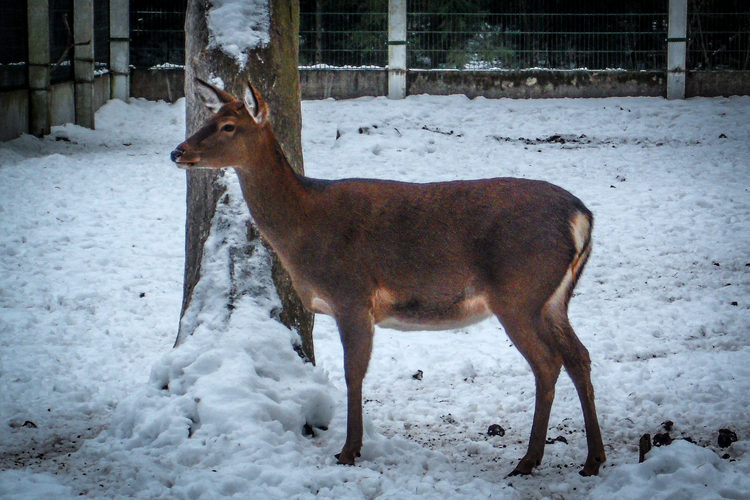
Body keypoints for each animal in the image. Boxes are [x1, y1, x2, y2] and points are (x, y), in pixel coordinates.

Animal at [169, 79, 604, 476]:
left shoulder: (351, 295)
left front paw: (349, 451)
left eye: (229, 125)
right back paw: (592, 459)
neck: (303, 231)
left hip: (519, 293)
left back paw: (529, 460)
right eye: (207, 118)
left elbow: (353, 372)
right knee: (579, 356)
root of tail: (582, 216)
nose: (178, 151)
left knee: (547, 362)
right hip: (553, 298)